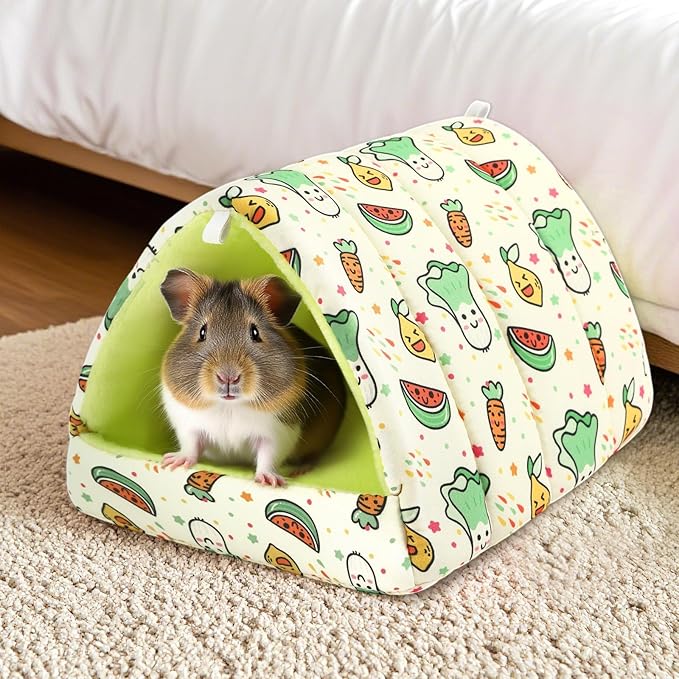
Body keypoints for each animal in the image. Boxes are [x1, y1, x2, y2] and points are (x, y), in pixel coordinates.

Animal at [159, 268, 346, 487]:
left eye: (255, 332)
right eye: (202, 332)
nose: (228, 377)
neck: (229, 407)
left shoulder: (278, 433)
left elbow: (267, 457)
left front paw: (269, 481)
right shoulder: (189, 425)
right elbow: (191, 446)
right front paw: (172, 462)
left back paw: (300, 470)